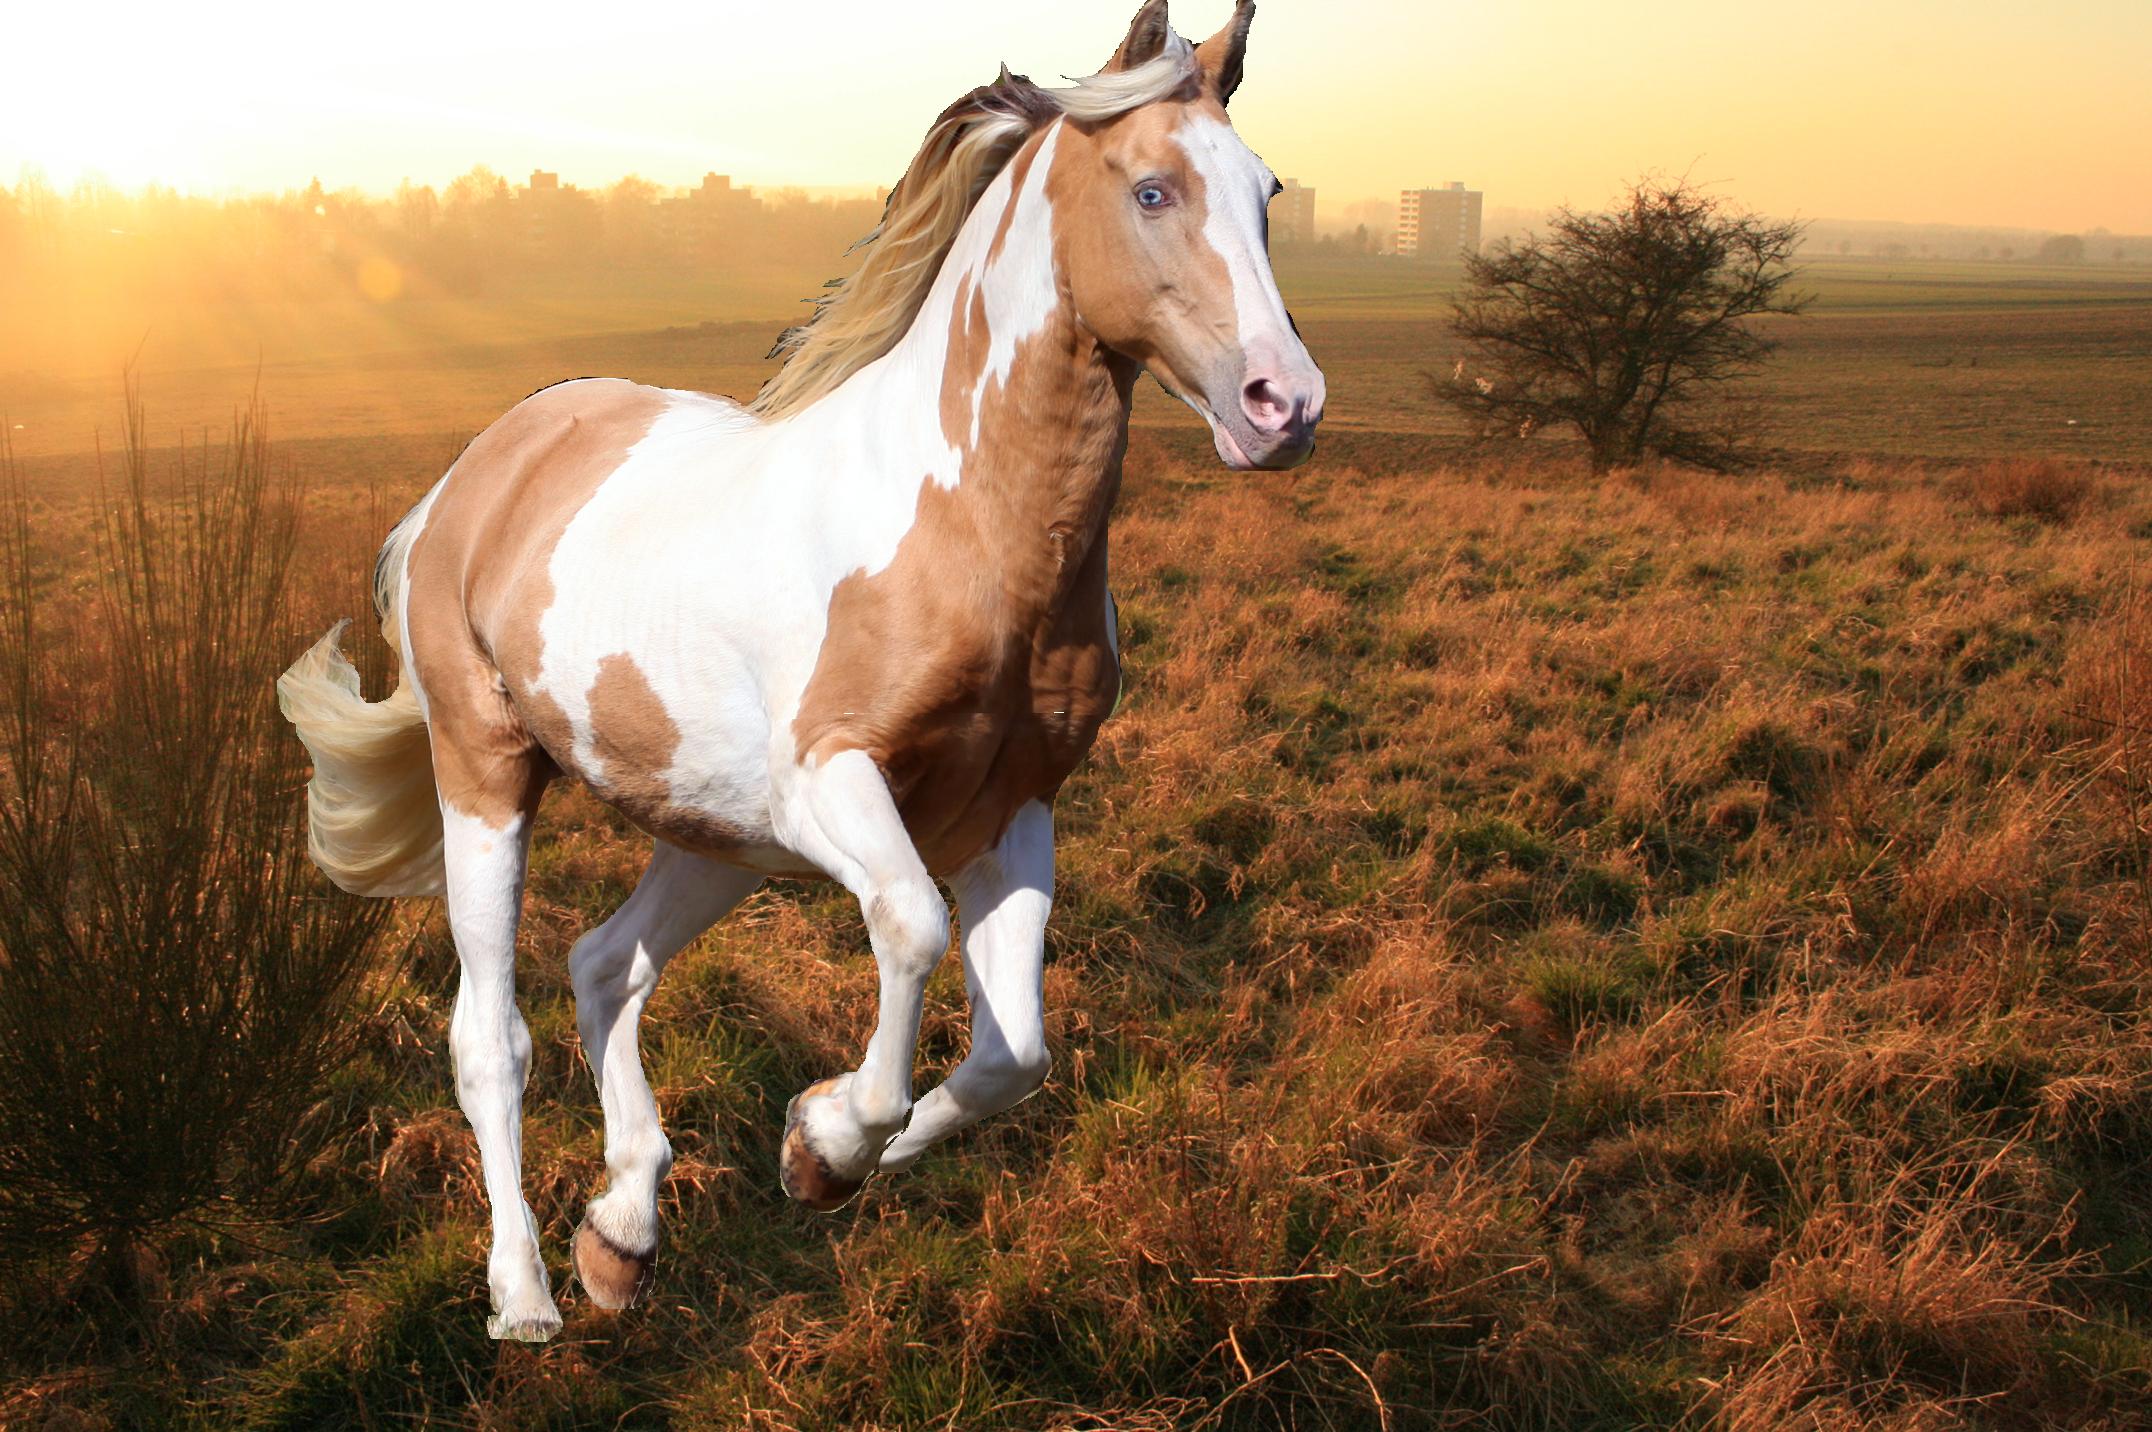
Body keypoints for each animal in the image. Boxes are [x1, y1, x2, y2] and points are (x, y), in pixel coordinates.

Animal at [281, 0, 1325, 1343]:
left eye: (1268, 189)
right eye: (1152, 188)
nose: (1282, 403)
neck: (964, 533)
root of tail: (474, 475)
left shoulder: (1012, 810)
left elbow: (1015, 1056)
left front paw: (818, 1154)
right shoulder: (833, 784)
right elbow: (912, 925)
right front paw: (828, 1139)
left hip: (715, 831)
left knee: (604, 965)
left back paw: (621, 1237)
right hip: (493, 776)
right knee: (490, 1033)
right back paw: (524, 1293)